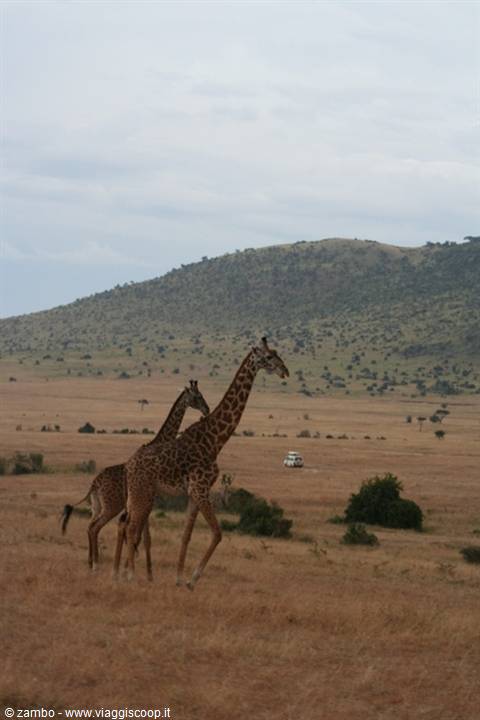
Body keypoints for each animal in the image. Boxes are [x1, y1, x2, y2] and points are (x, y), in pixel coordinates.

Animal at [61, 380, 209, 578]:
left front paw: (142, 571)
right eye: (198, 396)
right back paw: (96, 565)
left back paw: (91, 563)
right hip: (112, 506)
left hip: (97, 506)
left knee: (90, 526)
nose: (207, 409)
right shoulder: (150, 499)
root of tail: (94, 484)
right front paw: (142, 572)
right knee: (95, 528)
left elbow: (143, 537)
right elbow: (143, 537)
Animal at [115, 337, 289, 589]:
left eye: (276, 352)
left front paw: (179, 578)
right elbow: (217, 533)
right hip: (142, 493)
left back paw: (124, 573)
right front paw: (192, 579)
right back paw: (129, 575)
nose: (285, 370)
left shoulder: (194, 491)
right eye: (268, 357)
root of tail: (128, 466)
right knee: (130, 527)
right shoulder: (200, 488)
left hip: (138, 495)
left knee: (128, 526)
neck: (216, 440)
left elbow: (186, 535)